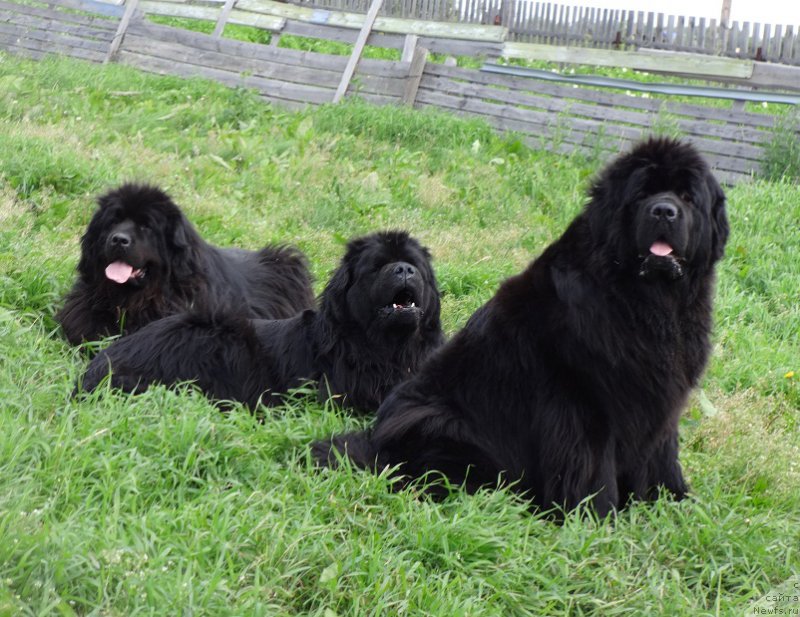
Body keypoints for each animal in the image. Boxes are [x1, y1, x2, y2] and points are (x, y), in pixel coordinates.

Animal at [314, 138, 732, 516]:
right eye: (642, 193)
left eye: (687, 197)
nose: (663, 211)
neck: (648, 301)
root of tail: (376, 442)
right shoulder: (582, 401)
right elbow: (592, 468)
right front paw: (595, 519)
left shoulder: (661, 398)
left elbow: (663, 456)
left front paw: (676, 504)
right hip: (436, 419)